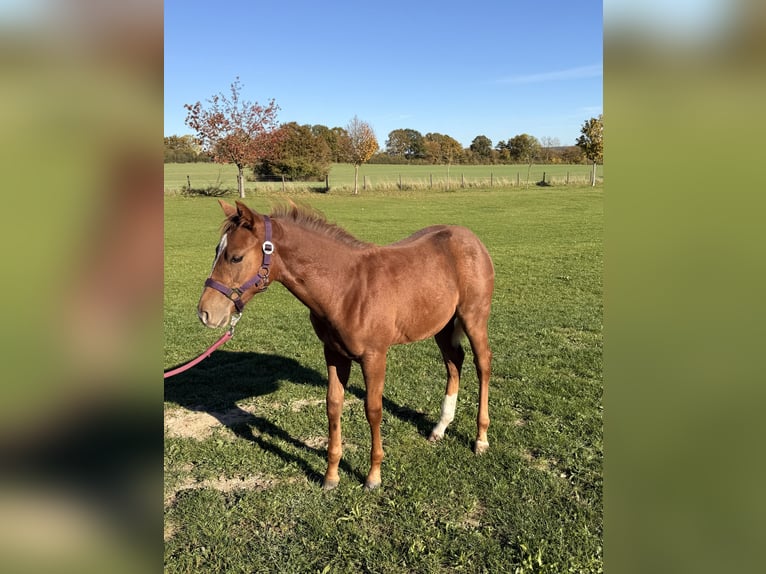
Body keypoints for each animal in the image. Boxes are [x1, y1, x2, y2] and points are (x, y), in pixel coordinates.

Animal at [197, 200, 494, 490]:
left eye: (236, 257)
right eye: (216, 251)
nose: (205, 313)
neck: (346, 289)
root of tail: (471, 238)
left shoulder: (375, 356)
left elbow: (373, 410)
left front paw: (373, 477)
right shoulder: (334, 354)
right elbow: (333, 405)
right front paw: (331, 476)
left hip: (473, 318)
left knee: (482, 364)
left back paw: (481, 439)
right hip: (442, 325)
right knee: (454, 363)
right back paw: (439, 428)